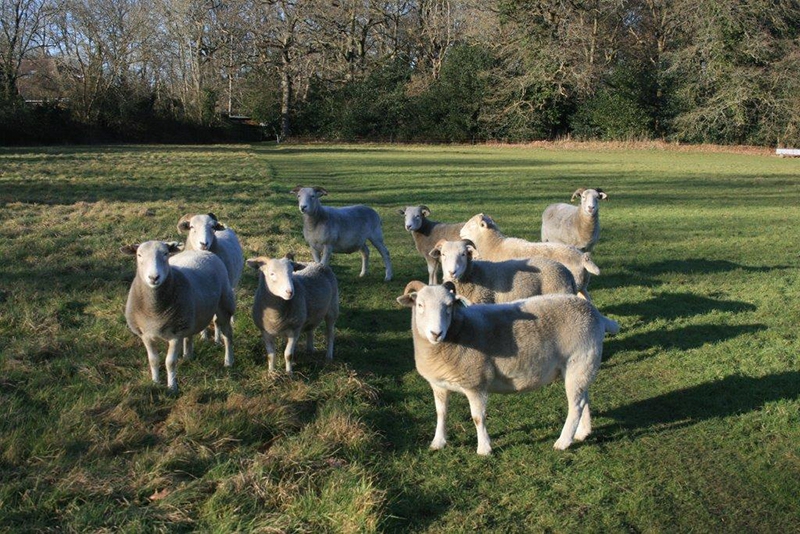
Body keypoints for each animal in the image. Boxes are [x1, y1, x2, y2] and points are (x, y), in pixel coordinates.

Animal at [178, 213, 244, 344]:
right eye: (191, 226)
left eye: (213, 227)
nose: (204, 244)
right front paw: (204, 337)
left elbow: (216, 320)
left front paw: (217, 339)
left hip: (232, 285)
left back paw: (232, 320)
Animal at [398, 280, 620, 456]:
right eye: (420, 305)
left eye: (450, 305)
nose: (436, 333)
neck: (459, 331)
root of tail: (595, 313)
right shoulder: (439, 385)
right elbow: (441, 413)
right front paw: (438, 442)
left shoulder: (476, 382)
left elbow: (478, 418)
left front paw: (484, 449)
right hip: (581, 368)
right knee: (584, 399)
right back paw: (583, 433)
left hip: (580, 361)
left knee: (575, 405)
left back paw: (563, 442)